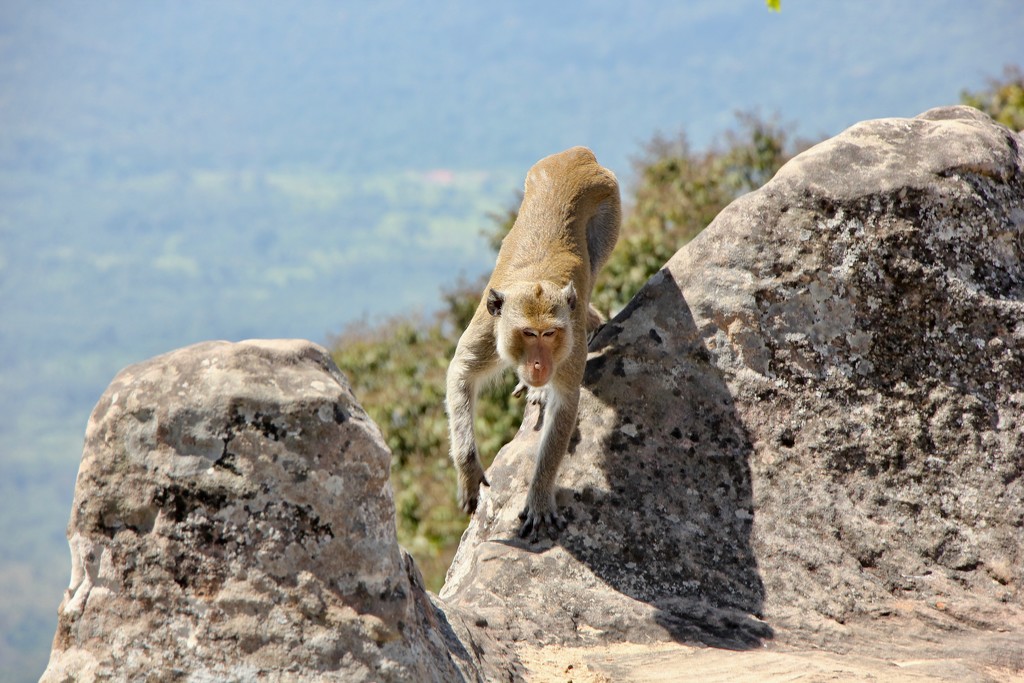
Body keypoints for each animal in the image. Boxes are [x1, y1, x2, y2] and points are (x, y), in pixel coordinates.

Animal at [444, 147, 618, 540]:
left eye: (549, 334)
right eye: (528, 333)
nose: (539, 365)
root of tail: (575, 155)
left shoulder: (570, 348)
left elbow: (565, 403)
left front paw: (539, 497)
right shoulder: (488, 330)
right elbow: (461, 373)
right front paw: (468, 470)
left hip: (608, 207)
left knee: (590, 278)